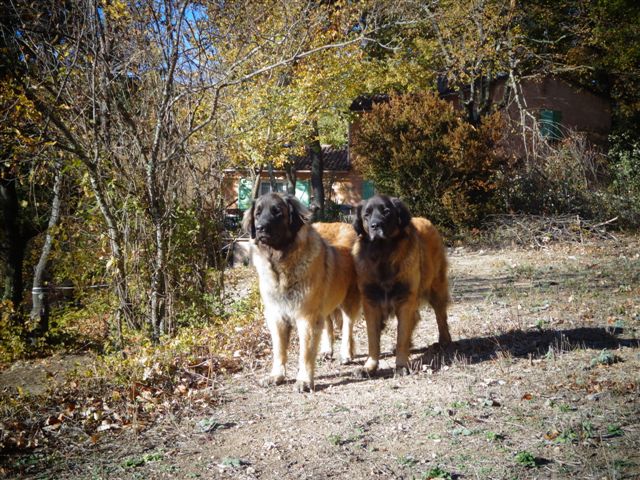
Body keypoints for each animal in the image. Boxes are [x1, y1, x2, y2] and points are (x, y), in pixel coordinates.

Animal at [242, 193, 360, 392]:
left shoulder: (307, 316)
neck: (281, 266)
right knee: (329, 323)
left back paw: (345, 353)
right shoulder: (277, 316)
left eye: (277, 212)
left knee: (347, 326)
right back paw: (327, 350)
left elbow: (305, 352)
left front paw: (304, 380)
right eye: (257, 214)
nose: (260, 228)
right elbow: (279, 350)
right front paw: (276, 376)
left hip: (349, 299)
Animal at [350, 195, 450, 376]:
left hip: (436, 288)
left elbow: (402, 335)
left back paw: (444, 340)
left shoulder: (405, 299)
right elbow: (373, 340)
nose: (375, 225)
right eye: (366, 214)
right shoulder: (371, 303)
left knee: (441, 316)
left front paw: (402, 365)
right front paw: (369, 367)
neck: (383, 254)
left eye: (386, 212)